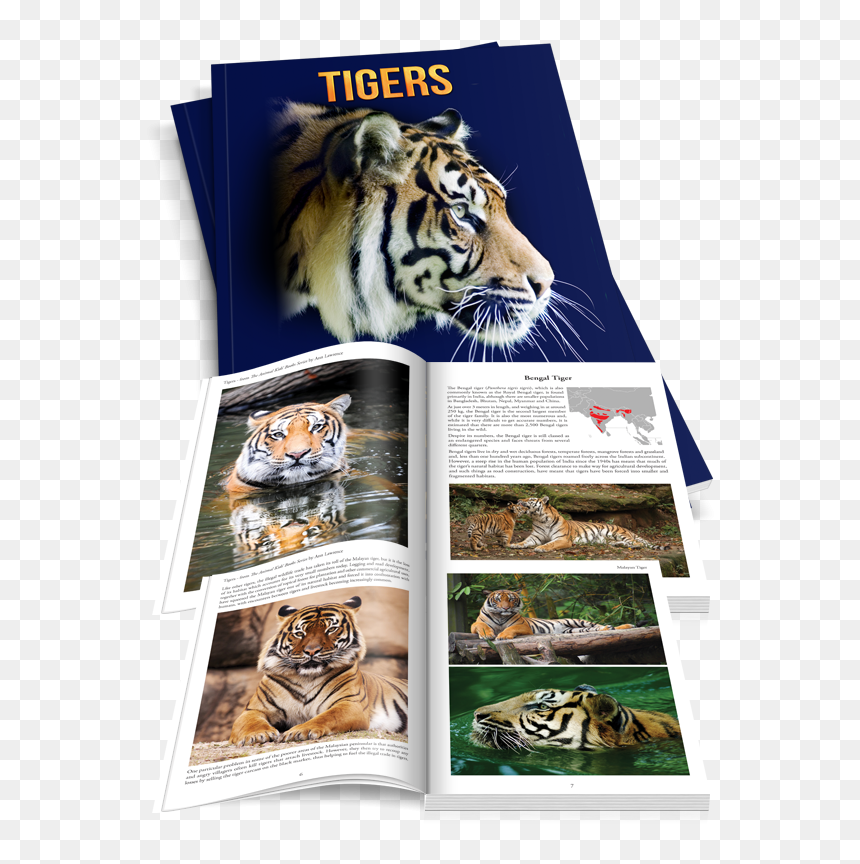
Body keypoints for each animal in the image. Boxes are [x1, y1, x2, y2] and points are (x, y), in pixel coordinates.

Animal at [229, 596, 408, 746]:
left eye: (331, 629)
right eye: (300, 633)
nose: (311, 651)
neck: (306, 678)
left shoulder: (350, 703)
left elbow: (325, 717)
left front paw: (299, 731)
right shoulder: (254, 709)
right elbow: (250, 722)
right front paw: (256, 735)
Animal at [470, 589, 635, 640]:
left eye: (511, 599)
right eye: (498, 600)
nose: (505, 608)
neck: (500, 616)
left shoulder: (522, 626)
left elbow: (510, 628)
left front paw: (503, 636)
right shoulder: (474, 624)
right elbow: (481, 626)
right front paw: (487, 635)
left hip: (578, 621)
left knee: (600, 626)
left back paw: (626, 626)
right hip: (574, 629)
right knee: (596, 629)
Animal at [508, 496, 670, 552]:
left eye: (530, 499)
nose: (519, 500)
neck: (540, 519)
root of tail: (626, 528)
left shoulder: (562, 539)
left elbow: (550, 544)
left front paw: (541, 548)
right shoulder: (535, 537)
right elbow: (524, 541)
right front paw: (515, 545)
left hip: (616, 532)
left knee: (638, 543)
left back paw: (634, 546)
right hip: (607, 538)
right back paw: (617, 545)